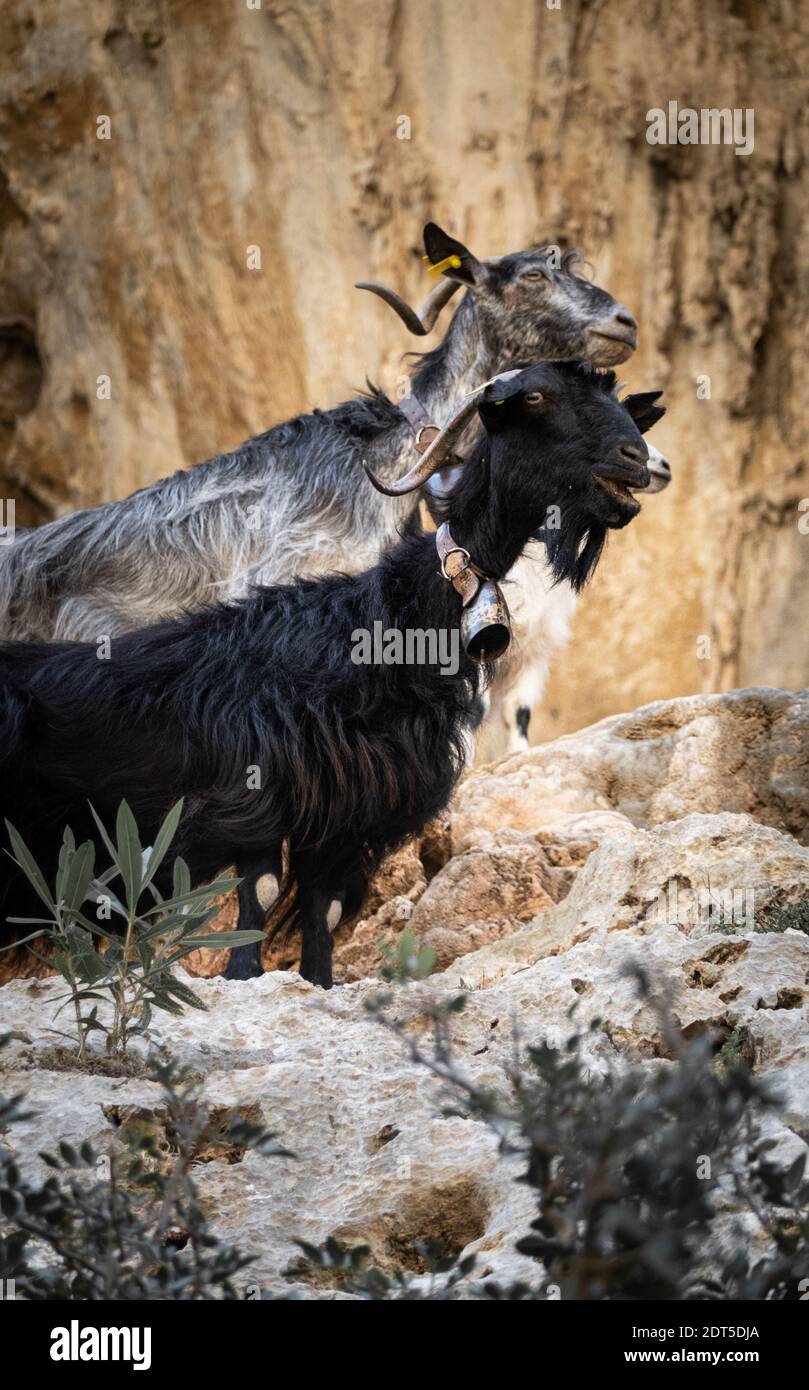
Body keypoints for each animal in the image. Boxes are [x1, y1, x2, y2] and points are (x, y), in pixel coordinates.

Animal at [0, 361, 664, 989]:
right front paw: (244, 975)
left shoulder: (348, 813)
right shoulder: (256, 788)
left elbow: (325, 910)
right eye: (536, 396)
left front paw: (315, 980)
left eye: (615, 397)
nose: (637, 460)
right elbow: (261, 895)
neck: (390, 618)